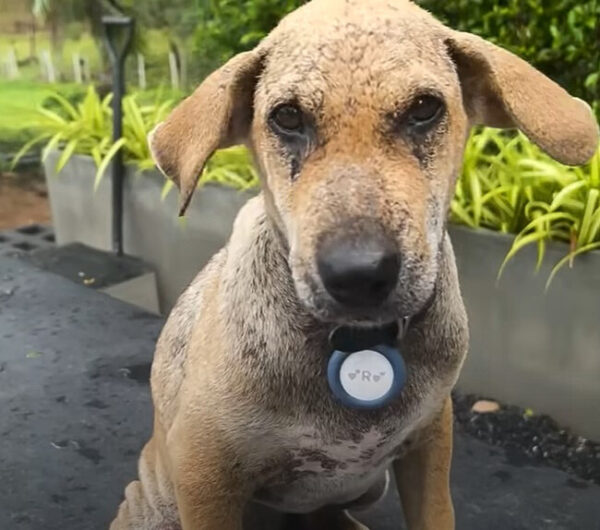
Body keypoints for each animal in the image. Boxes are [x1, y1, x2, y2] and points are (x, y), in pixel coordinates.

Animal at [110, 1, 596, 528]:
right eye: (287, 117)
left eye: (424, 108)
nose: (359, 275)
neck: (357, 341)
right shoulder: (204, 471)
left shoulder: (430, 441)